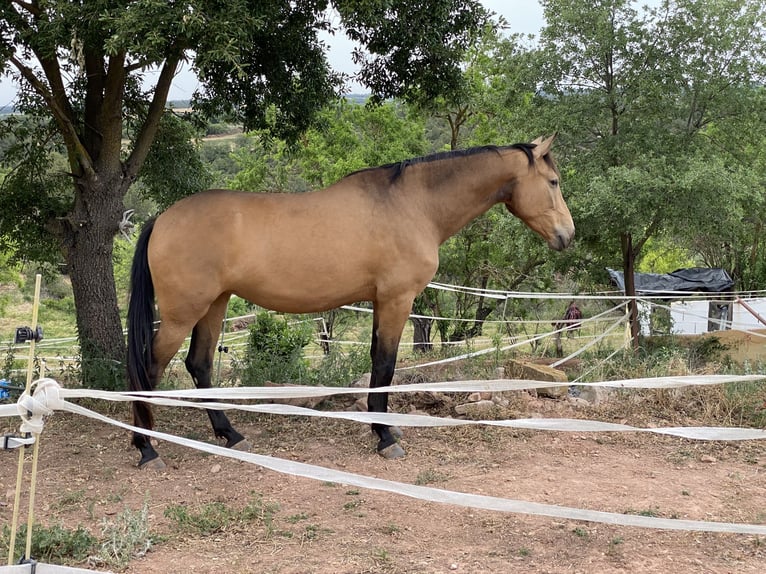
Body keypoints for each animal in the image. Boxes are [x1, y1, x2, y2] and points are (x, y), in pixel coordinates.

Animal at [127, 137, 576, 470]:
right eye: (554, 181)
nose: (567, 236)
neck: (411, 205)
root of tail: (161, 219)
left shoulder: (381, 302)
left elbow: (379, 362)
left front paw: (381, 429)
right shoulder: (397, 300)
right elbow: (385, 365)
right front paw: (385, 437)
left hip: (214, 305)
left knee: (199, 365)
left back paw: (230, 435)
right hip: (183, 312)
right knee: (149, 369)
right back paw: (148, 448)